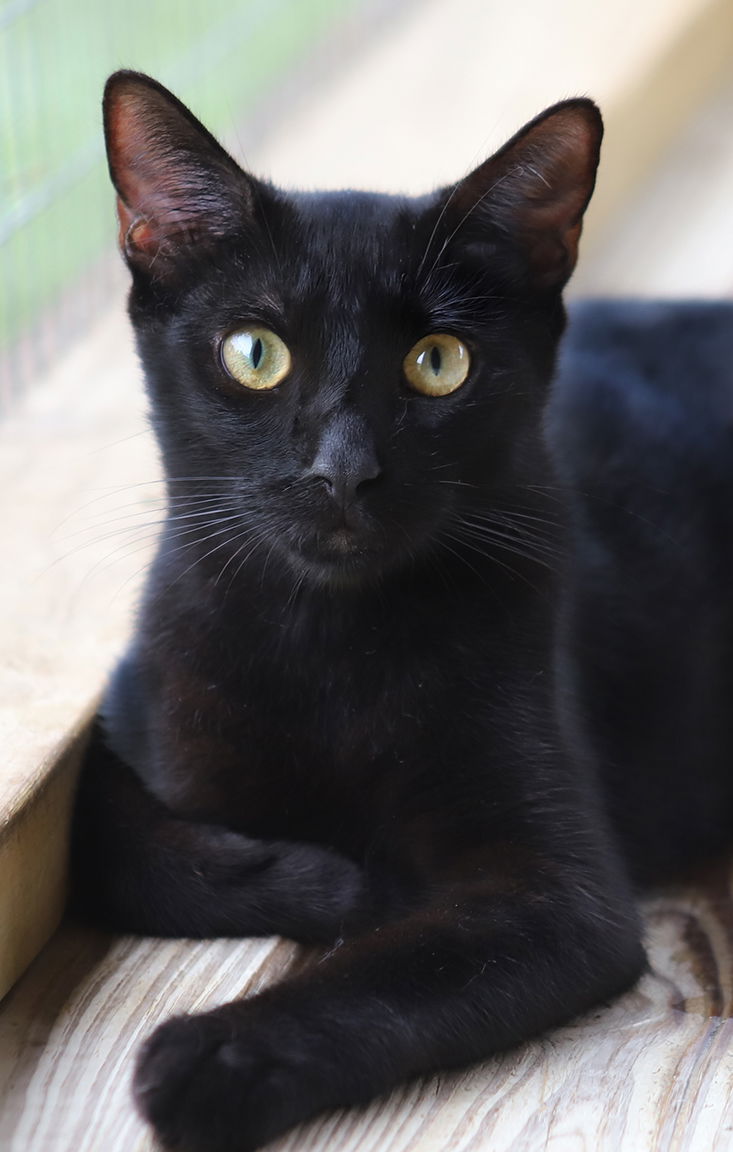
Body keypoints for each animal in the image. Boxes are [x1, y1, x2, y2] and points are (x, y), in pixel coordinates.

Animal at [71, 69, 733, 1152]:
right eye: (254, 353)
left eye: (438, 361)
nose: (344, 469)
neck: (328, 647)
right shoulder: (132, 702)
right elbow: (104, 840)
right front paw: (325, 879)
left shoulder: (558, 898)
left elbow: (385, 979)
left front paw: (209, 1057)